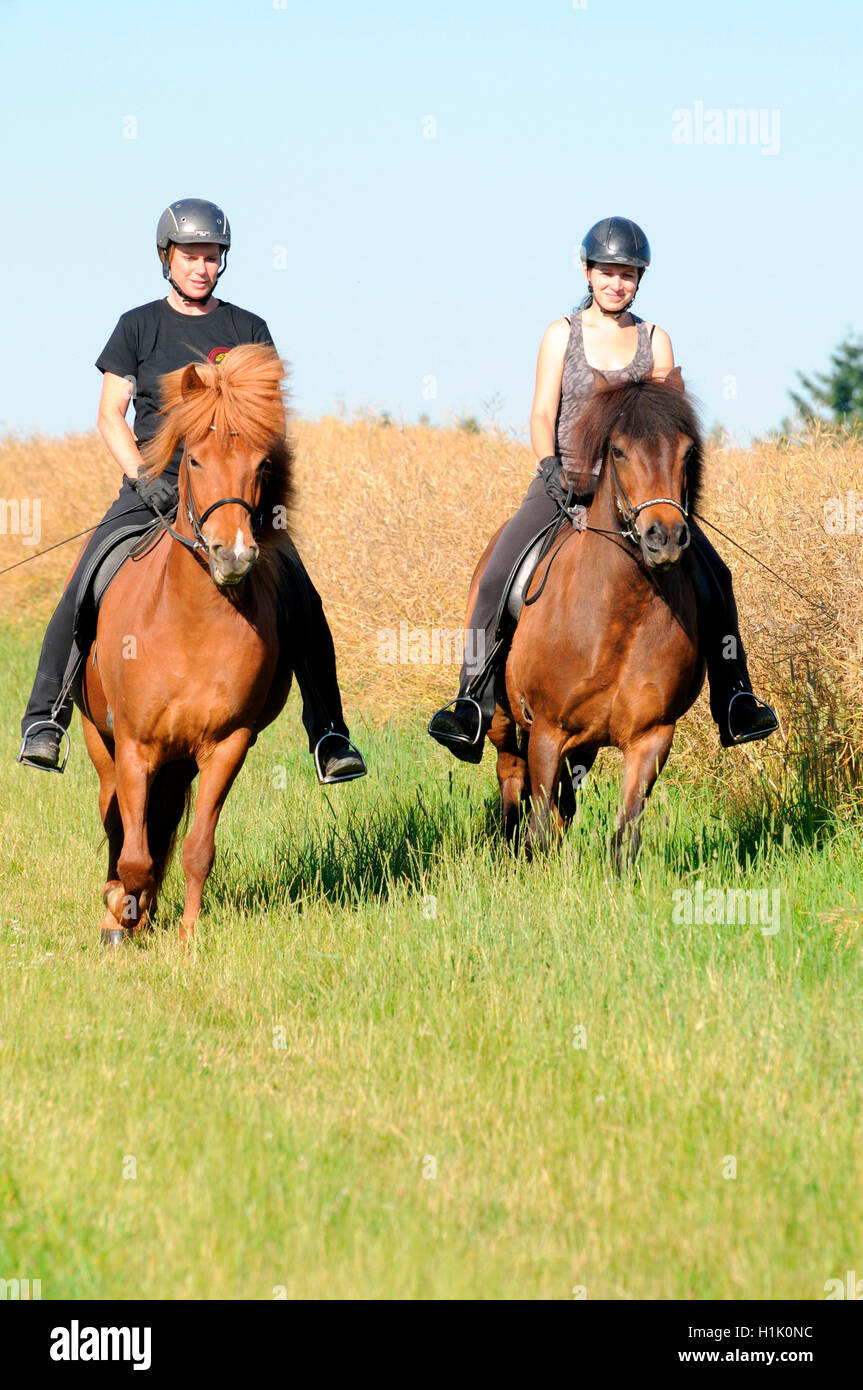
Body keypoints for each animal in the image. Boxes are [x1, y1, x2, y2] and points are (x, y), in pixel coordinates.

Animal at [81, 344, 296, 945]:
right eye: (194, 461)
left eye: (261, 465)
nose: (233, 555)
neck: (190, 624)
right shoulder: (134, 745)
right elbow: (131, 852)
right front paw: (122, 918)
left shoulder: (226, 744)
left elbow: (197, 848)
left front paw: (187, 939)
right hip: (99, 740)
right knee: (115, 819)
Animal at [475, 369, 703, 867]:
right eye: (618, 451)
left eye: (686, 451)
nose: (665, 538)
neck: (621, 612)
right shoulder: (546, 729)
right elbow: (539, 828)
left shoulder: (651, 737)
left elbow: (624, 837)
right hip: (503, 720)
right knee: (510, 776)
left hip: (586, 743)